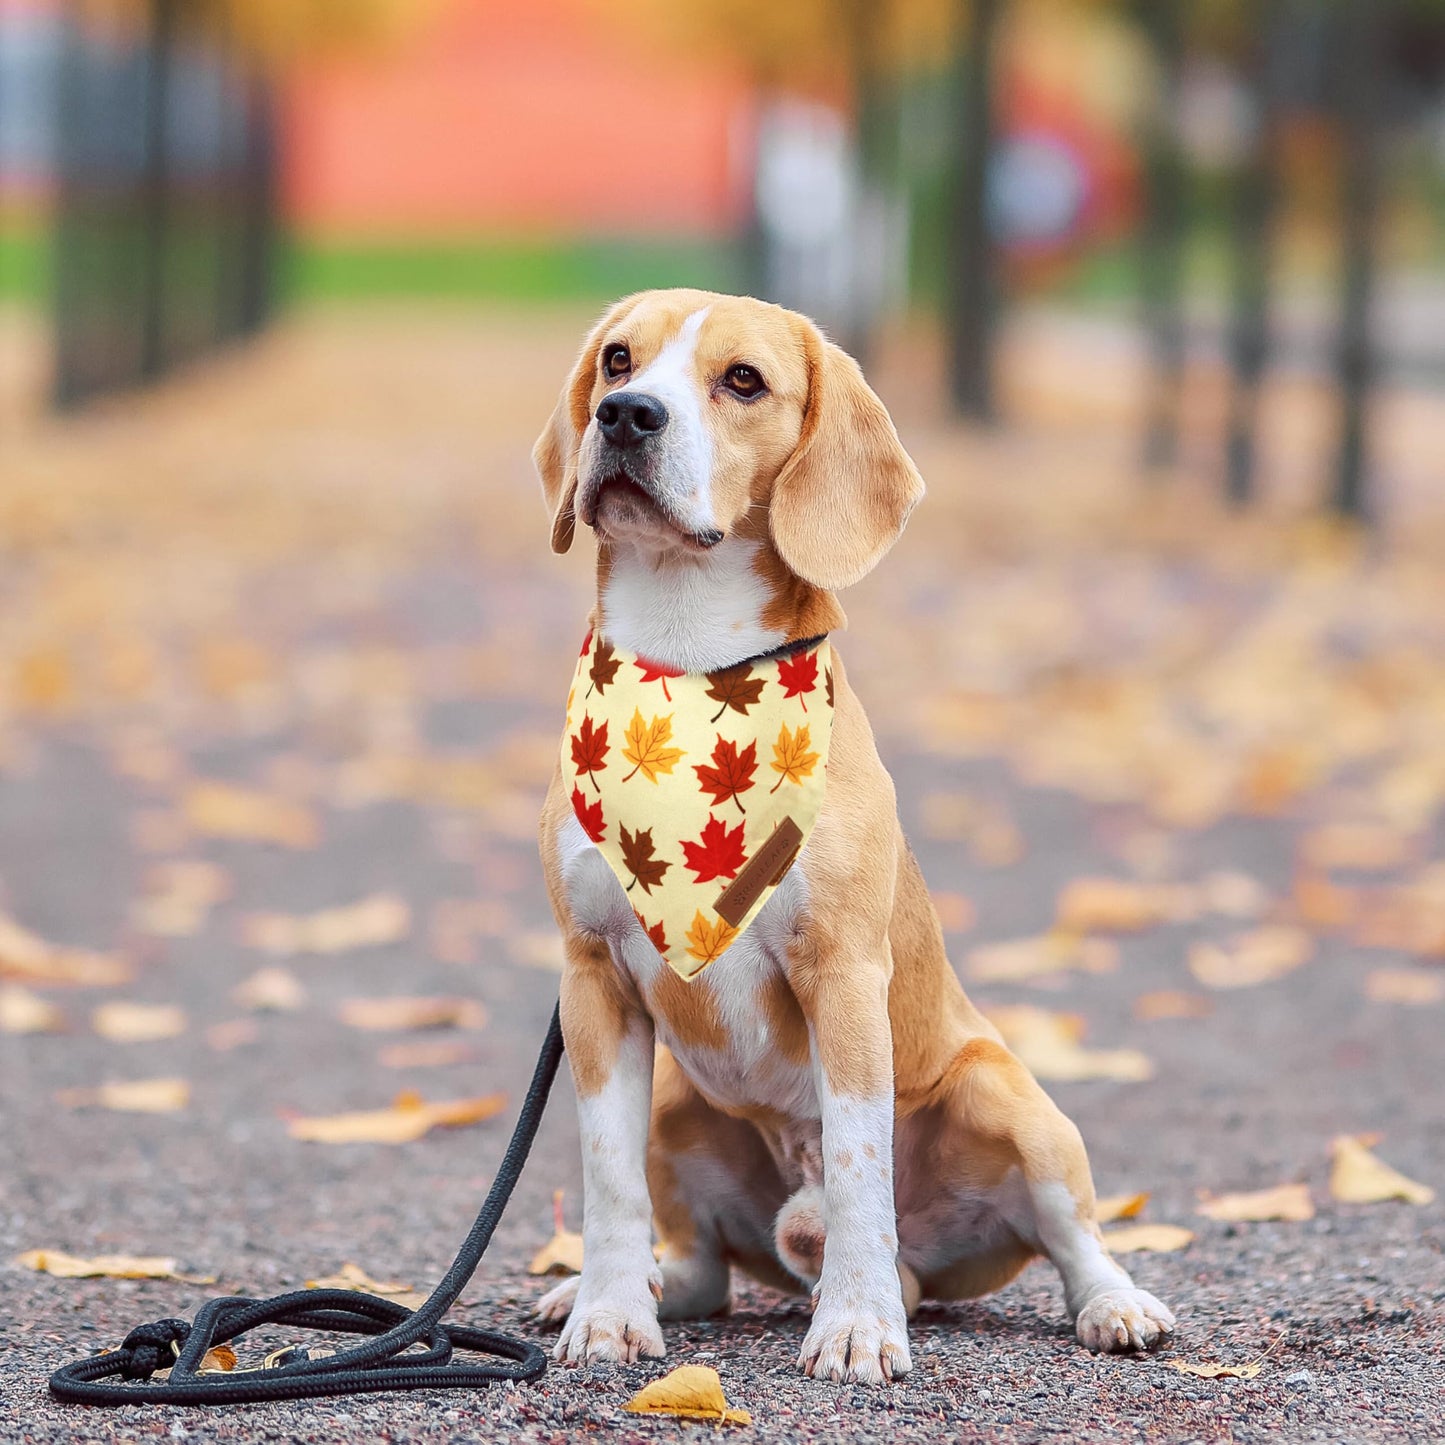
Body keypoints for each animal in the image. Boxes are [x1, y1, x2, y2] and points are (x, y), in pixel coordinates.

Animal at [531, 287, 1173, 1381]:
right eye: (618, 359)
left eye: (742, 380)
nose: (625, 415)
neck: (686, 658)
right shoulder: (592, 982)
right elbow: (609, 1178)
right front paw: (610, 1312)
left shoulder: (840, 975)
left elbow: (857, 1167)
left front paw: (859, 1324)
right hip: (675, 1106)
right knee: (701, 1268)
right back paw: (641, 1289)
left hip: (1008, 1098)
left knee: (1071, 1237)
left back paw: (1111, 1303)